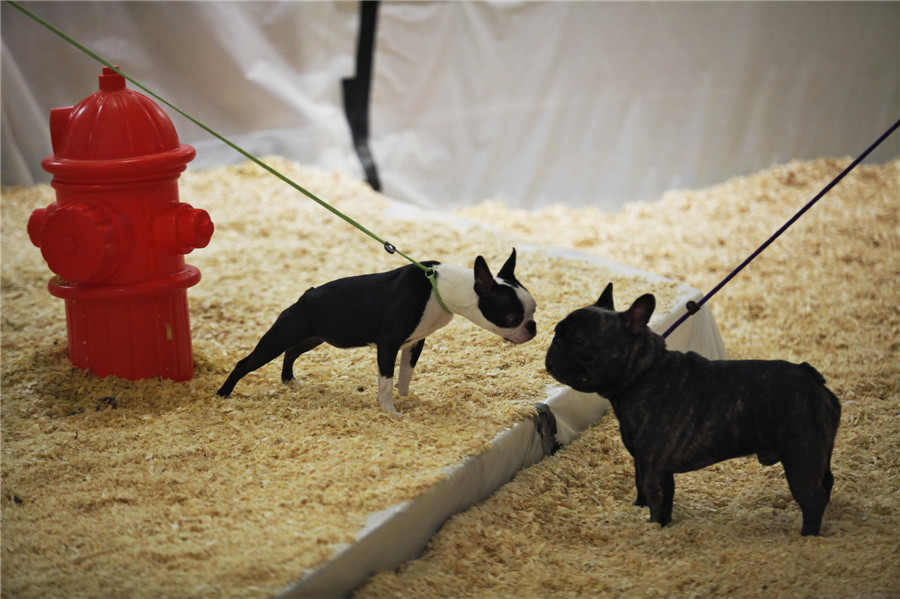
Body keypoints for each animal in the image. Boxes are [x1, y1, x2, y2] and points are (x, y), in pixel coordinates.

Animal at [217, 251, 536, 414]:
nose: (532, 328)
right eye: (513, 317)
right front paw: (390, 410)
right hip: (281, 335)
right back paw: (223, 393)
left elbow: (405, 374)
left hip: (313, 337)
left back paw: (289, 381)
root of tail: (306, 296)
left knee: (292, 352)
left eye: (532, 311)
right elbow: (385, 380)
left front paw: (406, 398)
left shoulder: (414, 343)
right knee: (246, 362)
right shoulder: (389, 344)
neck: (441, 288)